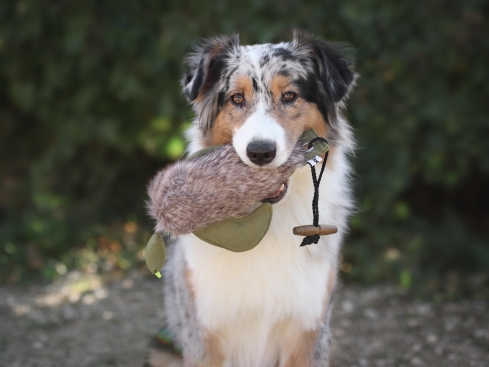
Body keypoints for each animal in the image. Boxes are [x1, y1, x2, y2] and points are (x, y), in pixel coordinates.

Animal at [147, 30, 356, 366]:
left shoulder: (309, 331)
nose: (260, 152)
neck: (266, 220)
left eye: (290, 96)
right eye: (236, 98)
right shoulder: (204, 333)